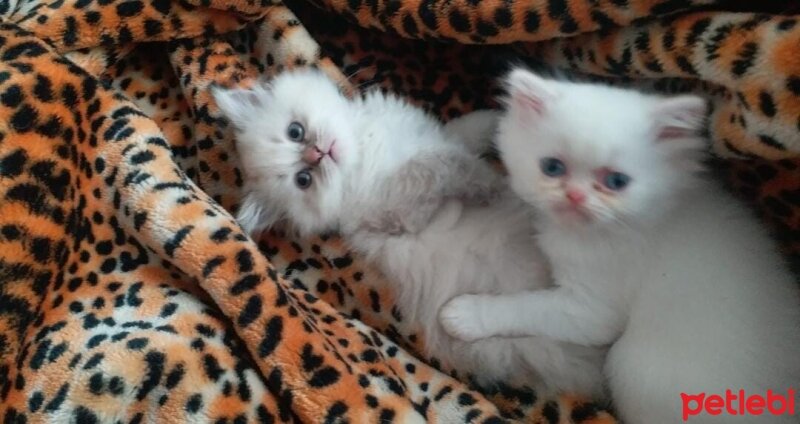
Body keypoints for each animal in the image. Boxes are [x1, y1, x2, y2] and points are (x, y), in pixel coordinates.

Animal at [212, 69, 608, 398]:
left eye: (295, 132)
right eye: (303, 180)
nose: (319, 153)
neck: (362, 150)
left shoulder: (428, 137)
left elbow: (459, 132)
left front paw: (497, 119)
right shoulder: (400, 206)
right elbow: (447, 165)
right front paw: (491, 184)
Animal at [440, 68, 800, 422]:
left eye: (616, 182)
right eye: (552, 167)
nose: (575, 196)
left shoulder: (591, 308)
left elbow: (527, 306)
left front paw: (467, 315)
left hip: (631, 363)